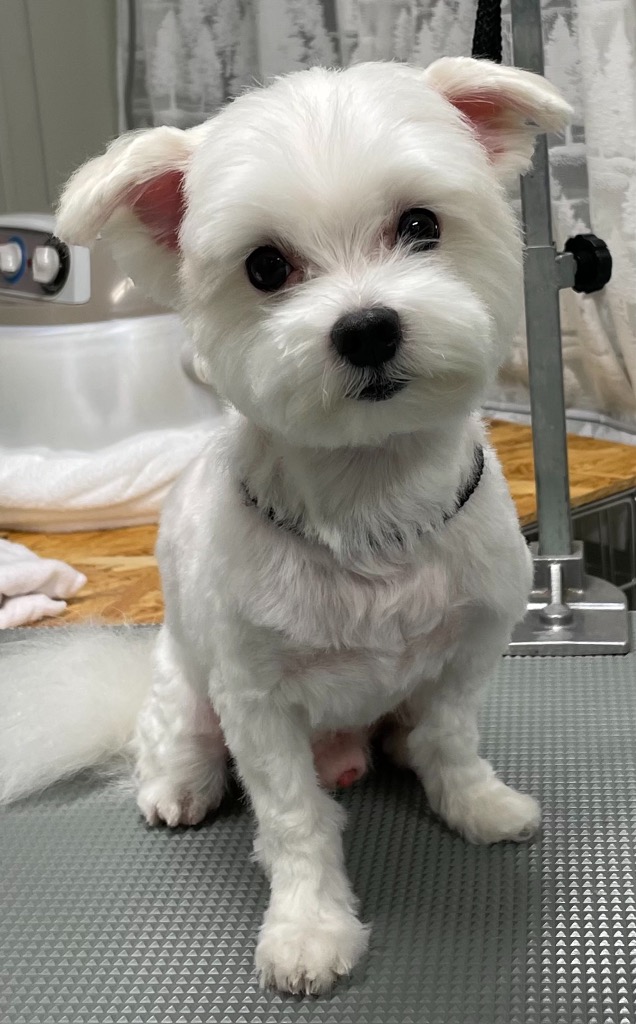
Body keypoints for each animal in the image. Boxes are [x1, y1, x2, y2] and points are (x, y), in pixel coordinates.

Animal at [0, 58, 570, 994]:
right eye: (266, 266)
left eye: (421, 224)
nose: (367, 328)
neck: (370, 500)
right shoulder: (257, 703)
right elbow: (296, 820)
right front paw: (310, 930)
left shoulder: (470, 646)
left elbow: (450, 737)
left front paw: (477, 801)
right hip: (189, 691)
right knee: (173, 745)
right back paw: (177, 788)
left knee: (407, 735)